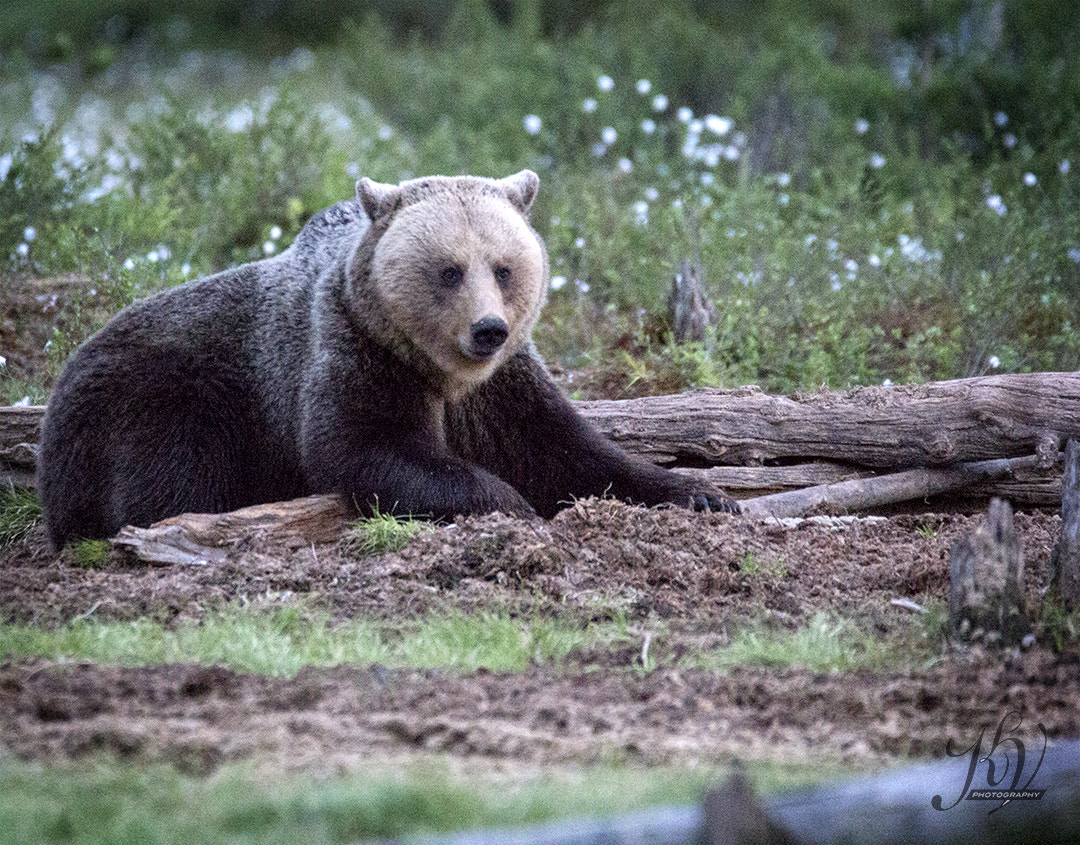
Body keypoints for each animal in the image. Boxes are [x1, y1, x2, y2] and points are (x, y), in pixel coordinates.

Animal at [38, 170, 735, 548]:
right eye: (450, 270)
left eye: (503, 267)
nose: (489, 329)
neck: (445, 373)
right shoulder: (355, 352)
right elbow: (364, 447)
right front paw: (509, 504)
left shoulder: (501, 389)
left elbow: (566, 450)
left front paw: (702, 494)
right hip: (159, 398)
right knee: (168, 479)